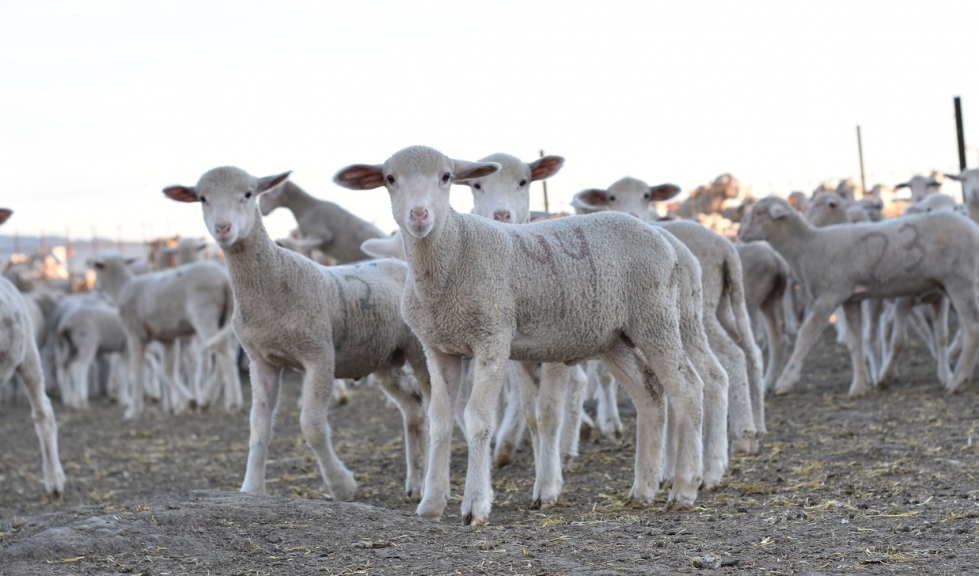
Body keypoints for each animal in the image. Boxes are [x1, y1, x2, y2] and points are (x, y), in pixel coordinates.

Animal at [91, 258, 242, 416]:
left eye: (95, 269)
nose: (95, 288)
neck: (122, 288)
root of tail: (225, 279)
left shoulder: (136, 335)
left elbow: (137, 370)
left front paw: (134, 410)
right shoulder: (167, 338)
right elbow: (167, 372)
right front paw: (174, 406)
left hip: (205, 314)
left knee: (224, 352)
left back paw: (232, 402)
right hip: (224, 318)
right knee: (226, 352)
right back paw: (208, 398)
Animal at [334, 146, 712, 524]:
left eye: (446, 177)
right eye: (390, 179)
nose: (418, 215)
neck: (454, 252)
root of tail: (660, 235)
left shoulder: (492, 338)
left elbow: (479, 420)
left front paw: (476, 503)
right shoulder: (438, 347)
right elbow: (439, 422)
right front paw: (430, 504)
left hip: (655, 317)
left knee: (687, 388)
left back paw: (684, 487)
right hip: (613, 336)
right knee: (650, 395)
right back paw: (644, 490)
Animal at [572, 178, 768, 456]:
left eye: (647, 196)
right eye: (611, 197)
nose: (632, 214)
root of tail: (726, 246)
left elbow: (603, 373)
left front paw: (609, 424)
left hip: (698, 311)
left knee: (732, 356)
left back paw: (739, 437)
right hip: (725, 303)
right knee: (751, 351)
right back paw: (755, 428)